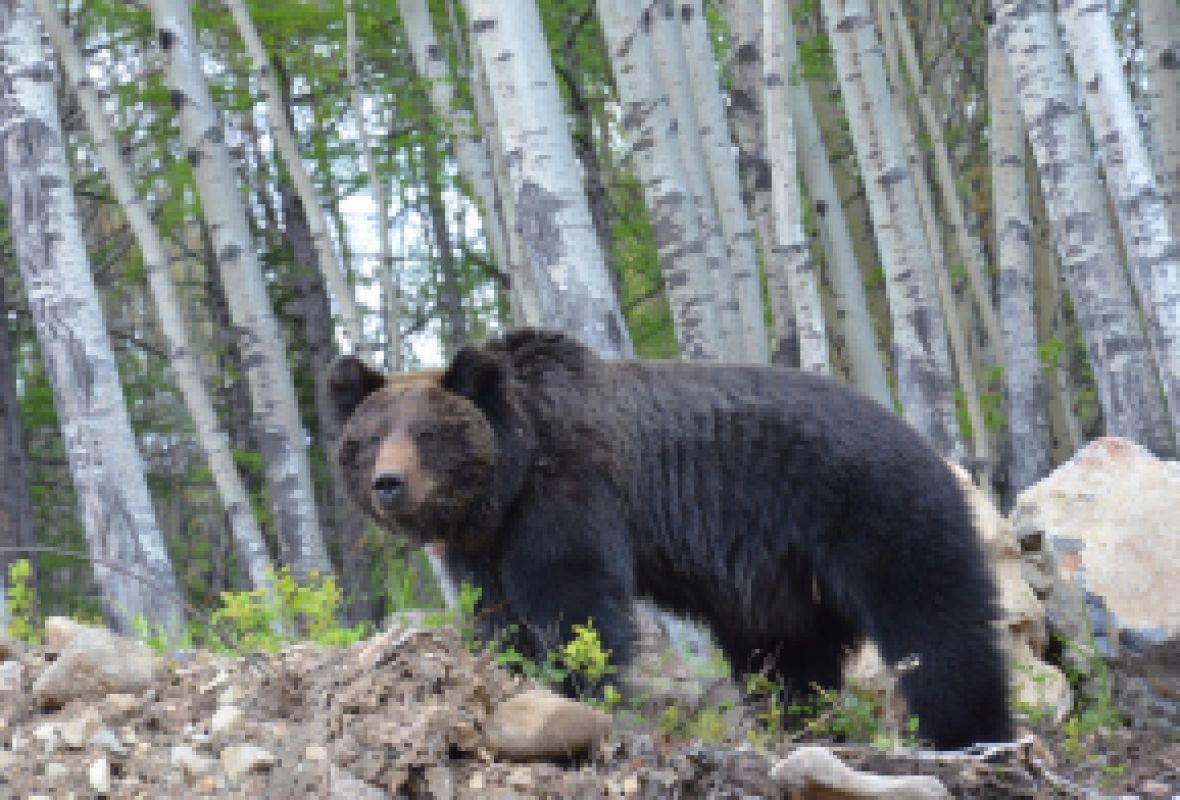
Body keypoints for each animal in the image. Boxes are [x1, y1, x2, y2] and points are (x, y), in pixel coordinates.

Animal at [332, 328, 1014, 750]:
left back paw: (970, 732)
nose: (388, 483)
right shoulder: (485, 543)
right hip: (781, 583)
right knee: (787, 656)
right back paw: (796, 722)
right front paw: (511, 667)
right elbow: (495, 613)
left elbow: (573, 600)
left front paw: (581, 686)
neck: (510, 479)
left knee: (935, 622)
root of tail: (928, 443)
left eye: (427, 433)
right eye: (372, 436)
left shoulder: (571, 492)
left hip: (871, 507)